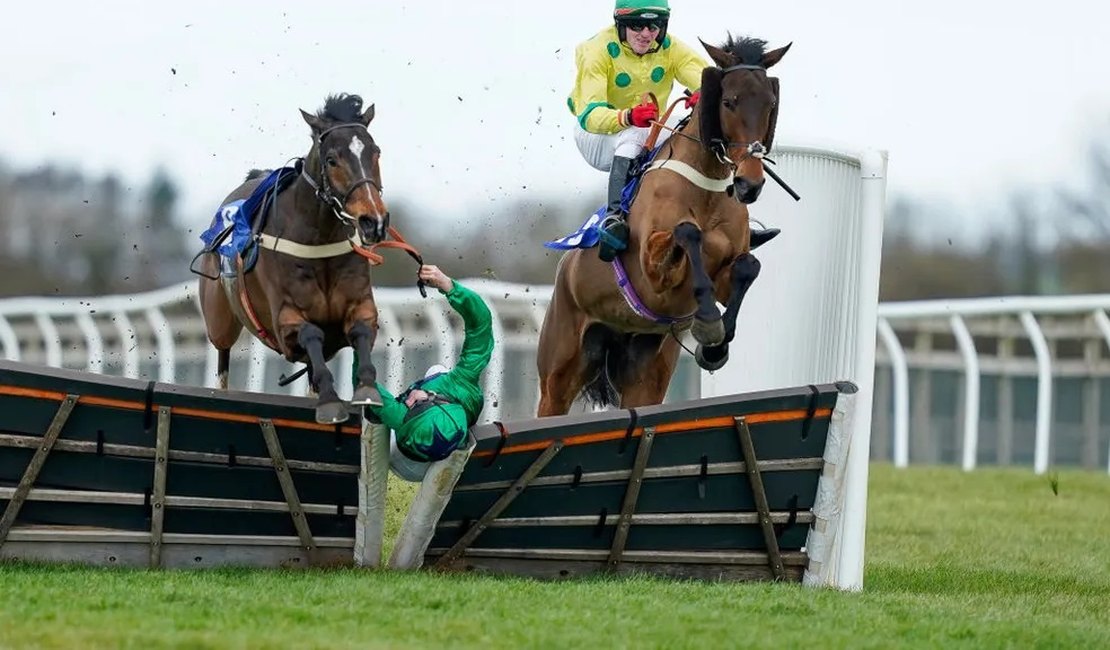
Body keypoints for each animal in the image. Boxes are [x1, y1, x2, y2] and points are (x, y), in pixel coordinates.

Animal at [199, 93, 395, 421]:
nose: (374, 221)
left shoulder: (360, 304)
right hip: (219, 321)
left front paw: (366, 389)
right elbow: (311, 334)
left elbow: (360, 329)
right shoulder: (285, 320)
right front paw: (330, 402)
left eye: (376, 153)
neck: (319, 240)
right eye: (331, 160)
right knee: (222, 358)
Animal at [535, 35, 790, 414]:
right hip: (558, 372)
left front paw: (715, 345)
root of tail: (565, 266)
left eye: (770, 103)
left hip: (647, 373)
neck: (706, 187)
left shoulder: (727, 273)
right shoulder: (652, 272)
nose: (750, 183)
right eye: (728, 101)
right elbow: (688, 232)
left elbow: (748, 266)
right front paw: (708, 322)